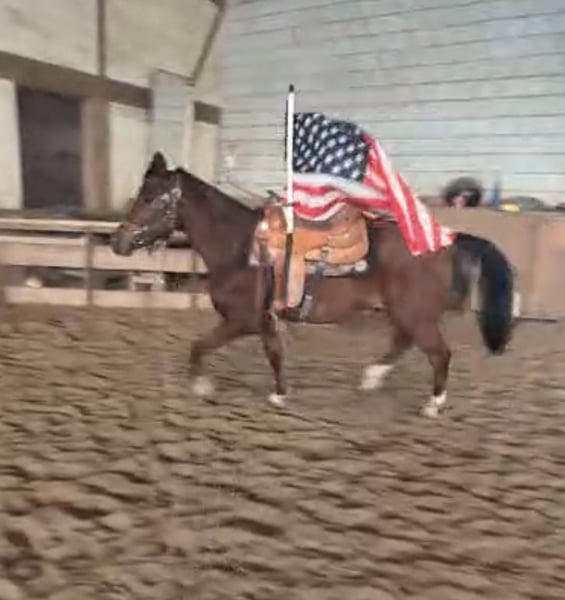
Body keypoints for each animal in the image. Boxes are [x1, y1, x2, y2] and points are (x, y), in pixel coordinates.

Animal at [111, 152, 515, 417]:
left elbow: (200, 345)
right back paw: (371, 378)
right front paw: (279, 394)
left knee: (438, 353)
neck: (241, 248)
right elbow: (274, 354)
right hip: (406, 312)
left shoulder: (241, 321)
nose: (118, 242)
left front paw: (202, 385)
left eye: (149, 198)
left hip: (415, 313)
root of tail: (446, 238)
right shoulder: (265, 321)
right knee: (403, 343)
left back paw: (433, 403)